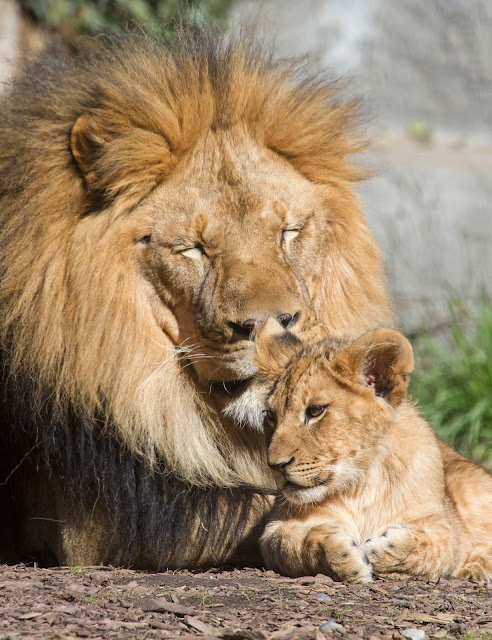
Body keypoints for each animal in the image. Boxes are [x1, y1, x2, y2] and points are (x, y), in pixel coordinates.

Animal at [254, 319, 492, 583]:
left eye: (315, 411)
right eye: (271, 416)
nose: (275, 465)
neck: (360, 486)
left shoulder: (441, 526)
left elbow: (433, 550)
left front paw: (377, 550)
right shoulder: (274, 529)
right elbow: (293, 544)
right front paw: (342, 555)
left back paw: (475, 569)